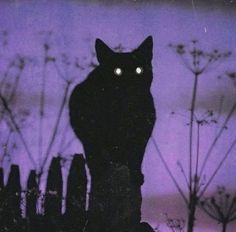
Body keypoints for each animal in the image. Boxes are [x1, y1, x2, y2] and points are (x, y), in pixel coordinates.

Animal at [69, 36, 156, 185]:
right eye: (117, 71)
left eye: (139, 70)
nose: (130, 82)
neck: (123, 111)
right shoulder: (91, 133)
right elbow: (96, 153)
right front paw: (99, 171)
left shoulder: (142, 133)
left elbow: (136, 156)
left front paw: (136, 175)